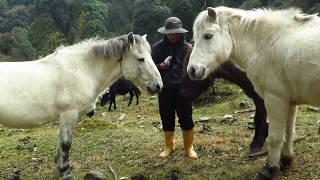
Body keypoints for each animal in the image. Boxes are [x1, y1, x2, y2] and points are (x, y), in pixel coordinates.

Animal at [0, 32, 162, 180]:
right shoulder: (69, 114)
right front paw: (66, 173)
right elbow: (66, 144)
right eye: (141, 58)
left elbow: (61, 144)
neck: (81, 69)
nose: (158, 86)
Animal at [188, 6, 320, 179]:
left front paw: (271, 169)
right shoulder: (289, 101)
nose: (192, 70)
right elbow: (288, 133)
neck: (269, 42)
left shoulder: (275, 99)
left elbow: (275, 137)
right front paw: (286, 161)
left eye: (208, 36)